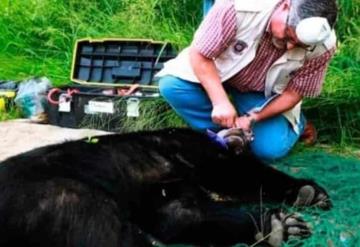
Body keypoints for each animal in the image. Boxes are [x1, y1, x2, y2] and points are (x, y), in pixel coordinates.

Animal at [0, 128, 330, 246]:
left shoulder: (165, 190)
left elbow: (183, 216)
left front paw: (279, 226)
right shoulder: (200, 154)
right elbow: (243, 172)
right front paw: (306, 193)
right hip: (61, 195)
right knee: (98, 228)